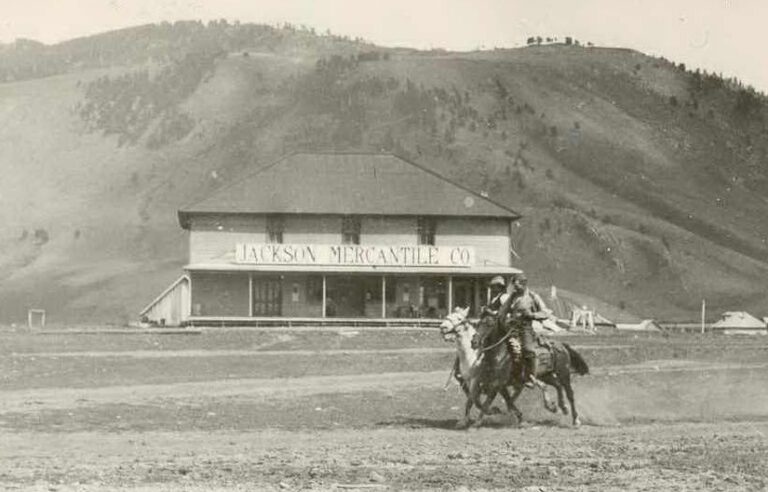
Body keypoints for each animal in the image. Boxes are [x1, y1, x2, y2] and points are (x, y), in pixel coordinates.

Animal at [438, 308, 588, 426]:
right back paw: (559, 407)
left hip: (564, 373)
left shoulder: (490, 383)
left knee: (569, 393)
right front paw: (465, 420)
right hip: (546, 375)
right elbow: (473, 400)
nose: (442, 328)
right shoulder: (474, 382)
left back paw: (575, 419)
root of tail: (561, 345)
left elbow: (481, 401)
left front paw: (485, 416)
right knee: (556, 385)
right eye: (478, 323)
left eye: (458, 318)